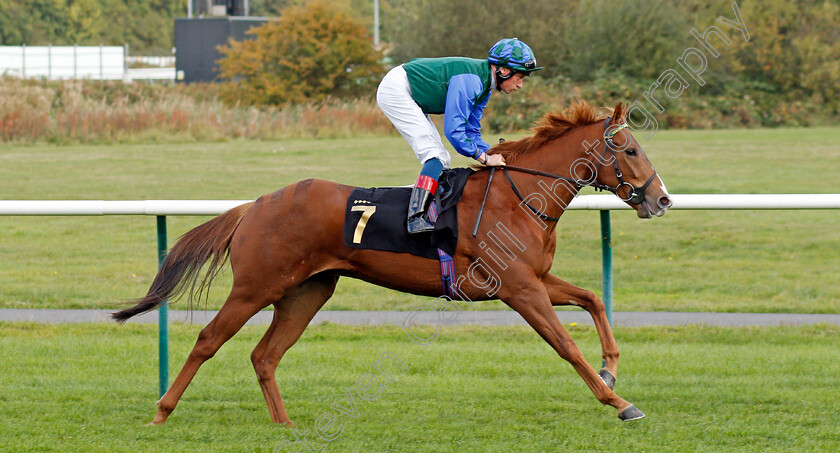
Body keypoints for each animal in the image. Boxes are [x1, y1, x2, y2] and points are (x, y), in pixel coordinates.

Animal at [115, 99, 672, 424]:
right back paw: (162, 412)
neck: (518, 196)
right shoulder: (520, 289)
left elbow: (593, 299)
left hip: (306, 291)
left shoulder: (535, 278)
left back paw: (286, 425)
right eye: (630, 149)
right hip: (257, 287)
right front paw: (618, 402)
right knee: (209, 340)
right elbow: (565, 345)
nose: (662, 199)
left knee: (265, 356)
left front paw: (612, 369)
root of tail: (253, 206)